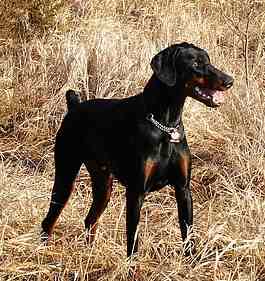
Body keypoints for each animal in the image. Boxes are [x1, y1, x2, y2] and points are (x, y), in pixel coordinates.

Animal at [40, 42, 232, 256]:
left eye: (208, 60)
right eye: (196, 63)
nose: (229, 81)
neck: (166, 125)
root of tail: (74, 106)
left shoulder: (183, 189)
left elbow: (188, 233)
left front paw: (191, 260)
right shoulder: (136, 192)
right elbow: (133, 239)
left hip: (103, 184)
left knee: (90, 219)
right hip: (65, 177)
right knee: (48, 221)